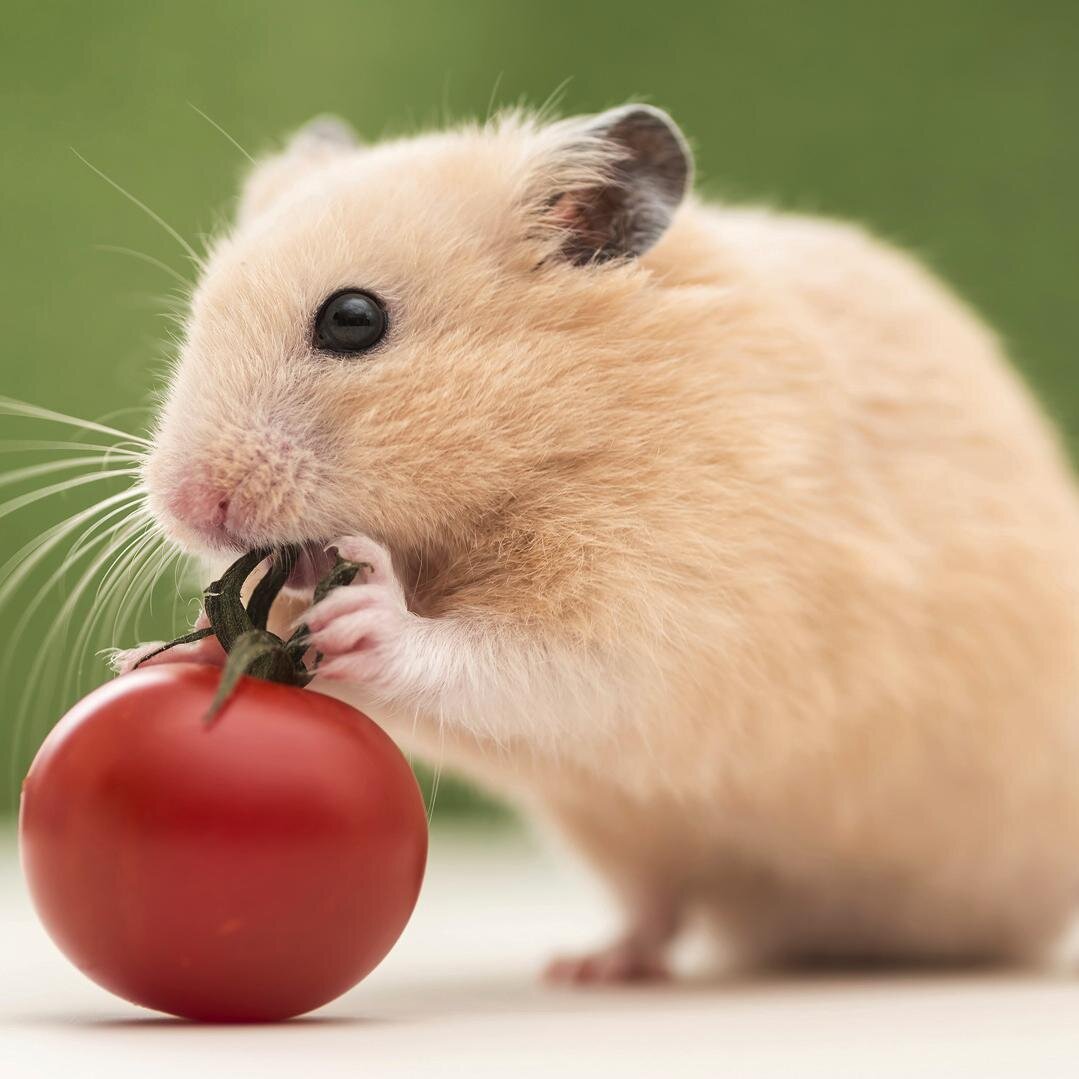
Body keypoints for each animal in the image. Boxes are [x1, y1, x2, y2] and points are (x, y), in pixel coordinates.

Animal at [118, 104, 1079, 981]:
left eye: (352, 319)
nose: (189, 504)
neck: (556, 438)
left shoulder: (664, 611)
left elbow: (520, 659)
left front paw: (367, 612)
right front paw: (159, 653)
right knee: (658, 906)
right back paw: (590, 964)